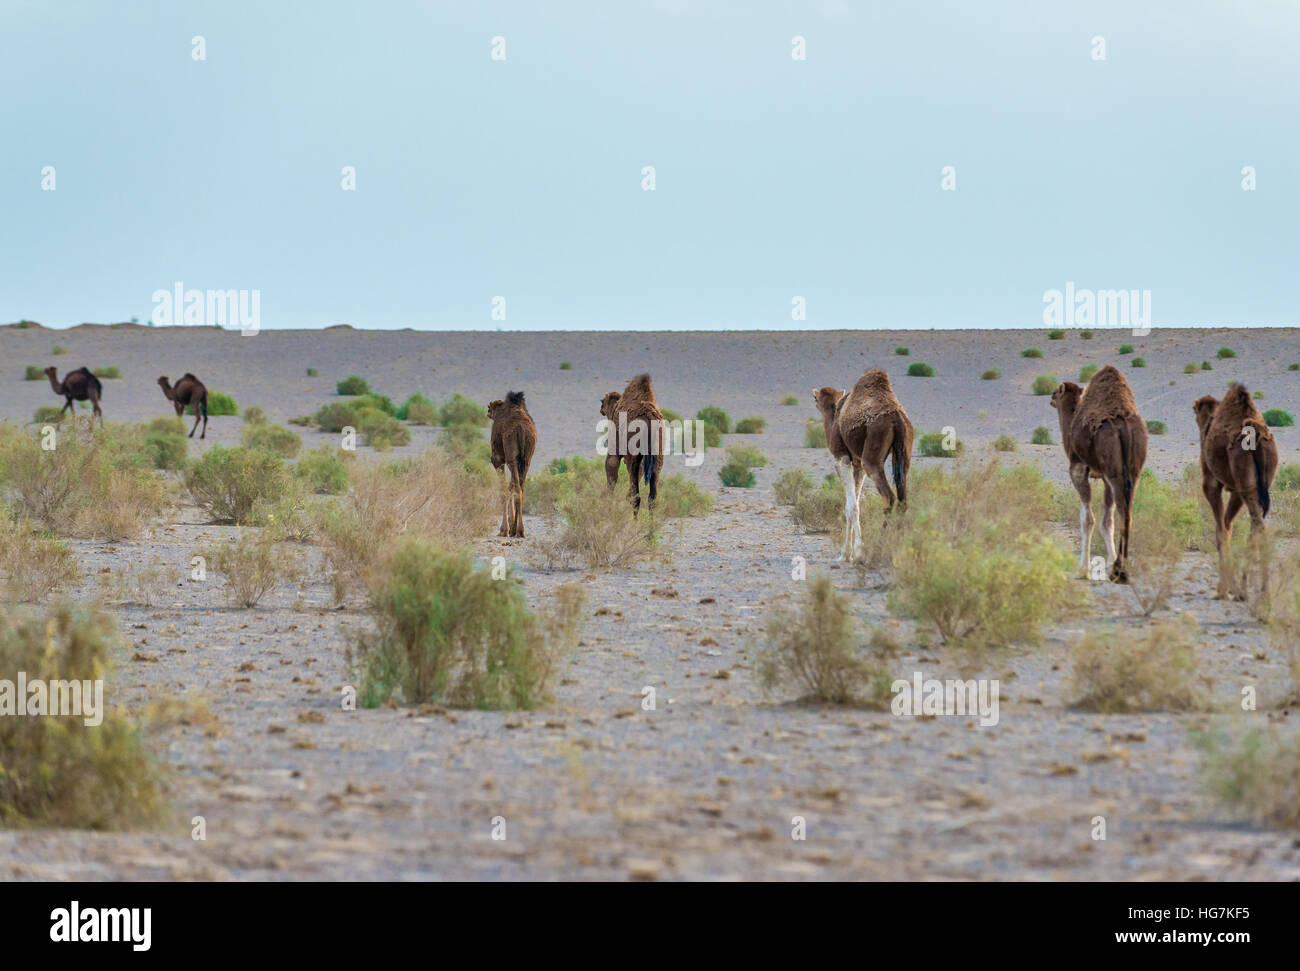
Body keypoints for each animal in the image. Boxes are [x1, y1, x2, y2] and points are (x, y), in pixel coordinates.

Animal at [488, 391, 537, 538]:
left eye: (489, 408)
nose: (488, 412)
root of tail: (521, 429)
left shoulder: (497, 458)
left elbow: (503, 488)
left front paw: (504, 529)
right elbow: (511, 486)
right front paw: (510, 525)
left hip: (511, 457)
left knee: (516, 488)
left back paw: (516, 530)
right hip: (526, 458)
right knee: (520, 488)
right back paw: (518, 529)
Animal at [599, 373, 668, 515]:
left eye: (602, 401)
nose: (601, 409)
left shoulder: (616, 446)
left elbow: (611, 467)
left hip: (634, 454)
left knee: (636, 496)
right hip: (658, 456)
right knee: (652, 497)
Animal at [811, 368, 913, 561]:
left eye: (815, 398)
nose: (814, 400)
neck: (834, 419)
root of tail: (897, 420)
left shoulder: (842, 458)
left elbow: (851, 506)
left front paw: (854, 552)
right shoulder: (857, 464)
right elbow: (853, 504)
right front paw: (847, 554)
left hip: (872, 458)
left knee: (889, 497)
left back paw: (880, 544)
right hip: (904, 453)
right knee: (903, 499)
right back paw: (899, 545)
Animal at [1050, 365, 1147, 583]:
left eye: (1057, 392)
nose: (1050, 396)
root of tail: (1123, 427)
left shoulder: (1078, 468)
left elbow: (1088, 519)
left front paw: (1083, 569)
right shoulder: (1103, 477)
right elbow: (1106, 521)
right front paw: (1109, 561)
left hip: (1115, 472)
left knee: (1123, 514)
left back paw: (1120, 570)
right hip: (1132, 472)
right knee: (1127, 515)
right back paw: (1120, 567)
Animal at [1193, 385, 1278, 600]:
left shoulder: (1211, 483)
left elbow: (1221, 531)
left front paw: (1222, 589)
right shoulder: (1236, 492)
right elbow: (1227, 527)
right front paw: (1231, 587)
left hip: (1246, 485)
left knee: (1260, 528)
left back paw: (1262, 592)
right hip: (1259, 484)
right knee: (1254, 528)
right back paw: (1246, 589)